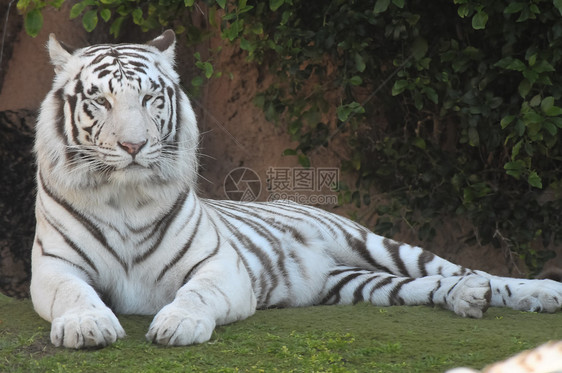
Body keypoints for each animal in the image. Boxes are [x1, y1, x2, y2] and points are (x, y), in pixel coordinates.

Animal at [29, 29, 560, 348]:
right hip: (351, 283)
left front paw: (178, 324)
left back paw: (535, 292)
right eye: (100, 100)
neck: (126, 197)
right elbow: (74, 294)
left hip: (373, 243)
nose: (134, 145)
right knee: (423, 286)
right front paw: (88, 325)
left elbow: (196, 294)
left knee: (464, 269)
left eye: (150, 98)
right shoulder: (55, 267)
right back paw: (468, 299)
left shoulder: (218, 266)